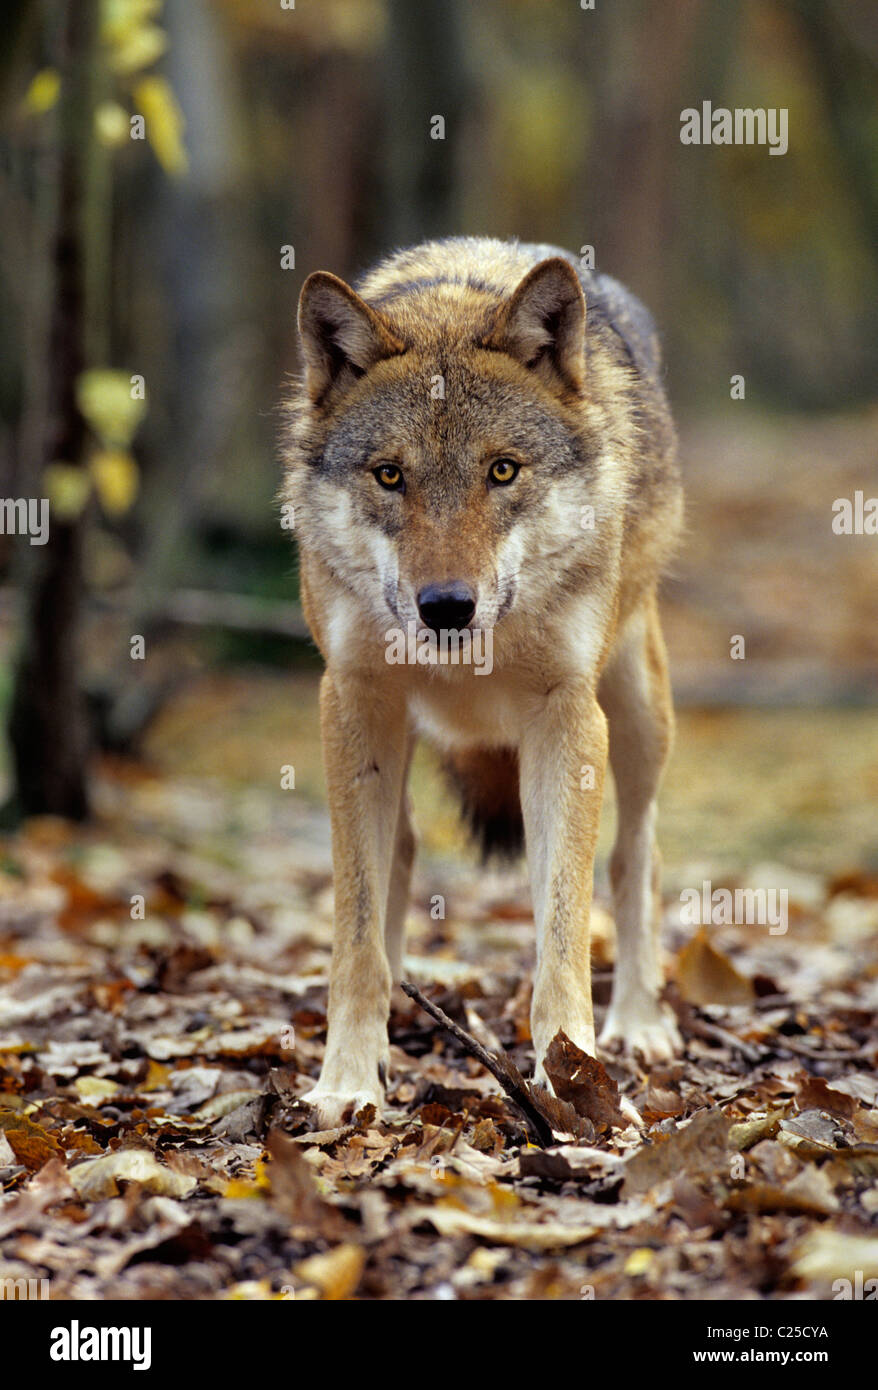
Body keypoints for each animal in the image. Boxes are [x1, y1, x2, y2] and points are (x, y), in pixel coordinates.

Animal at [283, 236, 686, 1128]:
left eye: (502, 471)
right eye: (389, 476)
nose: (445, 608)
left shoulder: (567, 719)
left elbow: (563, 934)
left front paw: (570, 1088)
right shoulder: (351, 701)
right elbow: (355, 936)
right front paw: (348, 1082)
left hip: (638, 715)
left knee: (635, 860)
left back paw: (641, 1025)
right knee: (400, 854)